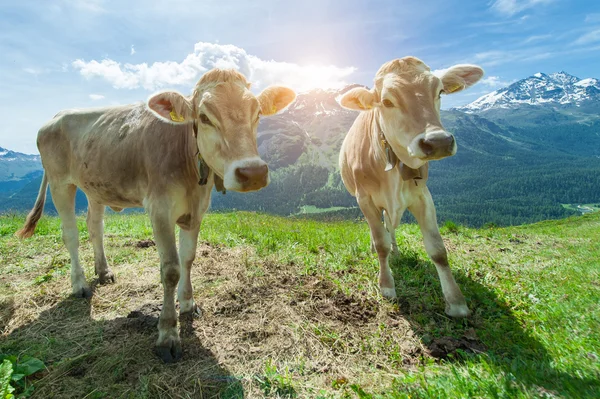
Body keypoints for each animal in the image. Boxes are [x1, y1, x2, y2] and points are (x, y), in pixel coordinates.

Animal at [18, 69, 298, 362]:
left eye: (257, 113)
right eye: (204, 117)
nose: (253, 172)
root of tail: (56, 115)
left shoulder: (197, 210)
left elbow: (188, 258)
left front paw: (188, 303)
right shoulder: (159, 208)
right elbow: (171, 269)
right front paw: (168, 333)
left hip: (95, 187)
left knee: (95, 227)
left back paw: (104, 272)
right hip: (60, 182)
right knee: (70, 234)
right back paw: (80, 284)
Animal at [340, 56, 486, 318]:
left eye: (440, 92)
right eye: (387, 101)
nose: (438, 142)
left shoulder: (422, 196)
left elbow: (438, 249)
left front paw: (456, 302)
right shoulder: (365, 198)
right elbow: (380, 243)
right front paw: (386, 285)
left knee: (390, 226)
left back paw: (396, 251)